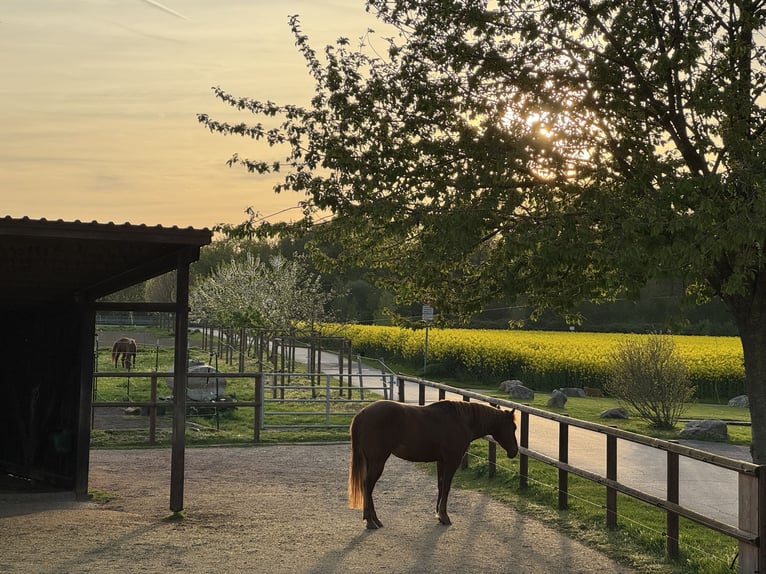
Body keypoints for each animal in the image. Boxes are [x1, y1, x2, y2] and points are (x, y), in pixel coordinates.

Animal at [348, 400, 518, 529]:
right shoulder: (452, 461)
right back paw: (370, 521)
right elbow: (447, 487)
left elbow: (441, 485)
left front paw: (438, 514)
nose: (515, 451)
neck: (461, 421)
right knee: (368, 485)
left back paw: (375, 519)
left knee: (367, 487)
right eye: (513, 427)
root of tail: (362, 414)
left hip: (371, 461)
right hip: (377, 461)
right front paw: (444, 515)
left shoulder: (441, 461)